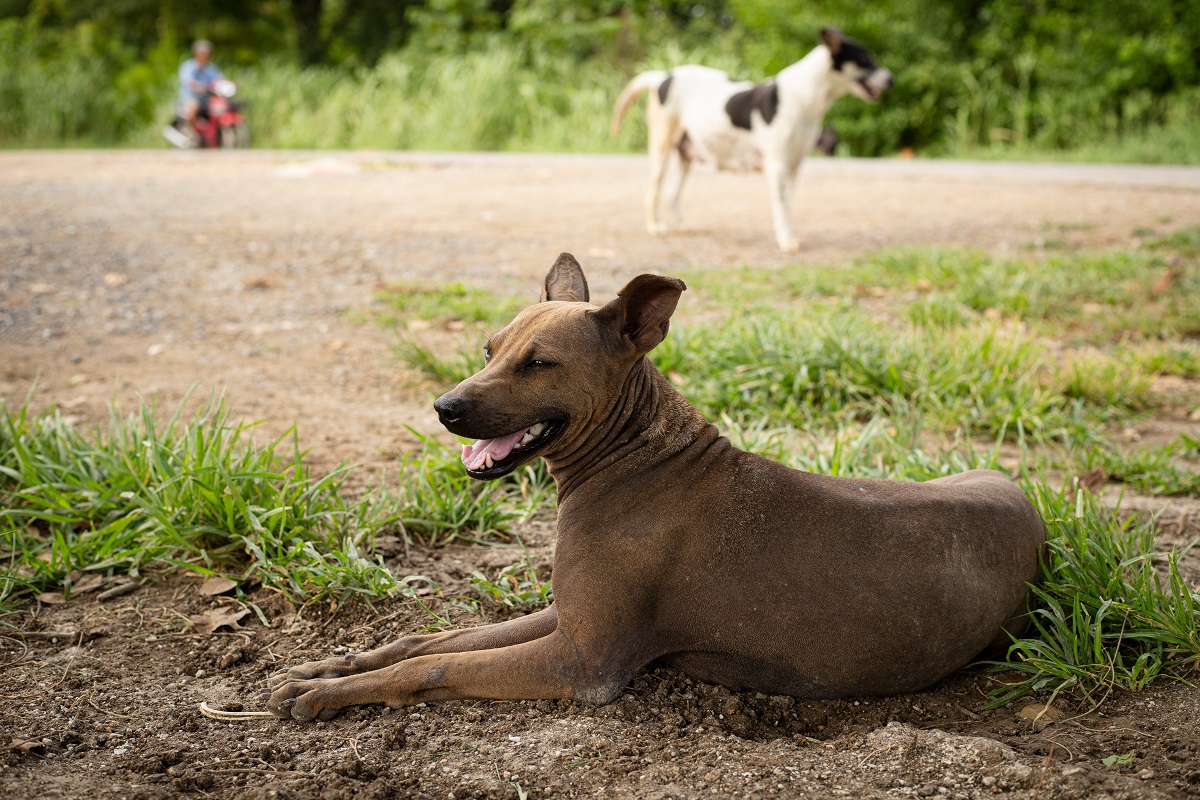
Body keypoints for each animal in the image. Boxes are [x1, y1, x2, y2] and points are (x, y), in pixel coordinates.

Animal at [267, 253, 1046, 724]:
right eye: (489, 349)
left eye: (538, 363)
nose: (444, 407)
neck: (635, 459)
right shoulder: (568, 618)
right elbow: (433, 639)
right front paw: (334, 665)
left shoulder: (582, 661)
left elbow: (435, 669)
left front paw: (329, 693)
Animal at [614, 28, 888, 251]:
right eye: (866, 60)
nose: (891, 79)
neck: (806, 97)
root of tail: (663, 76)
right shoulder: (777, 165)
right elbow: (780, 206)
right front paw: (785, 241)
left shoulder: (794, 167)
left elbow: (788, 205)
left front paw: (788, 235)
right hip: (661, 148)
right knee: (653, 189)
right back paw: (655, 226)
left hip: (686, 154)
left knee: (673, 191)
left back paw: (681, 225)